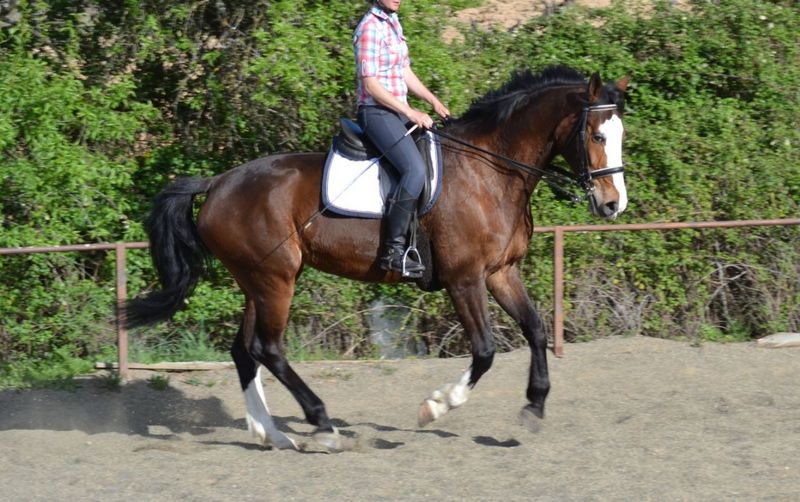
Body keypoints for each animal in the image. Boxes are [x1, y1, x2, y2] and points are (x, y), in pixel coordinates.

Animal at [127, 65, 630, 451]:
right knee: (268, 349)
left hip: (257, 281)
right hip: (275, 280)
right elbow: (486, 350)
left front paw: (533, 407)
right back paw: (322, 426)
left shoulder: (502, 272)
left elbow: (536, 329)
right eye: (596, 134)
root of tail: (217, 183)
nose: (612, 205)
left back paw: (272, 434)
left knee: (245, 351)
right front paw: (435, 406)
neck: (491, 171)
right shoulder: (465, 279)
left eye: (620, 135)